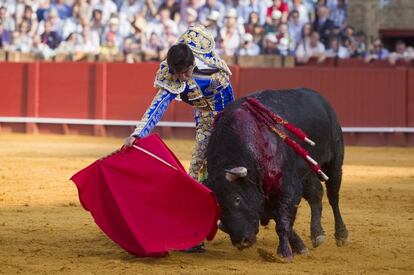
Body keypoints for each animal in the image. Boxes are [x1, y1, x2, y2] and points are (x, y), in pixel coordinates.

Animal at [205, 89, 348, 260]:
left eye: (237, 199)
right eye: (218, 206)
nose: (241, 242)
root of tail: (319, 97)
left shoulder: (288, 187)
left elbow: (282, 221)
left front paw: (284, 253)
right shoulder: (267, 192)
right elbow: (280, 217)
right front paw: (299, 247)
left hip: (335, 160)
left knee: (333, 196)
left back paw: (341, 235)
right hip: (306, 173)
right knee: (316, 194)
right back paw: (317, 234)